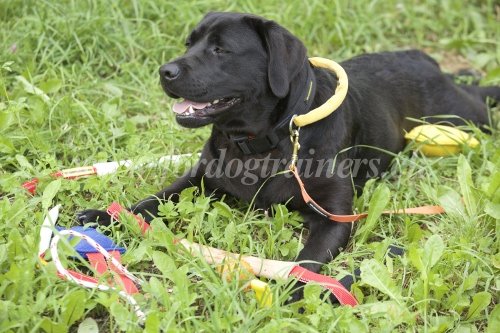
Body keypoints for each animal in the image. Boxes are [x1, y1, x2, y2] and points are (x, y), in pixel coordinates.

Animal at [77, 12, 496, 288]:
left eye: (220, 50)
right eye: (189, 44)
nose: (165, 71)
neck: (260, 142)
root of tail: (420, 56)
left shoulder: (333, 216)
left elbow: (307, 261)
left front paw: (295, 290)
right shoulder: (198, 180)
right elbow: (149, 202)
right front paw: (103, 216)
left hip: (462, 115)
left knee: (479, 98)